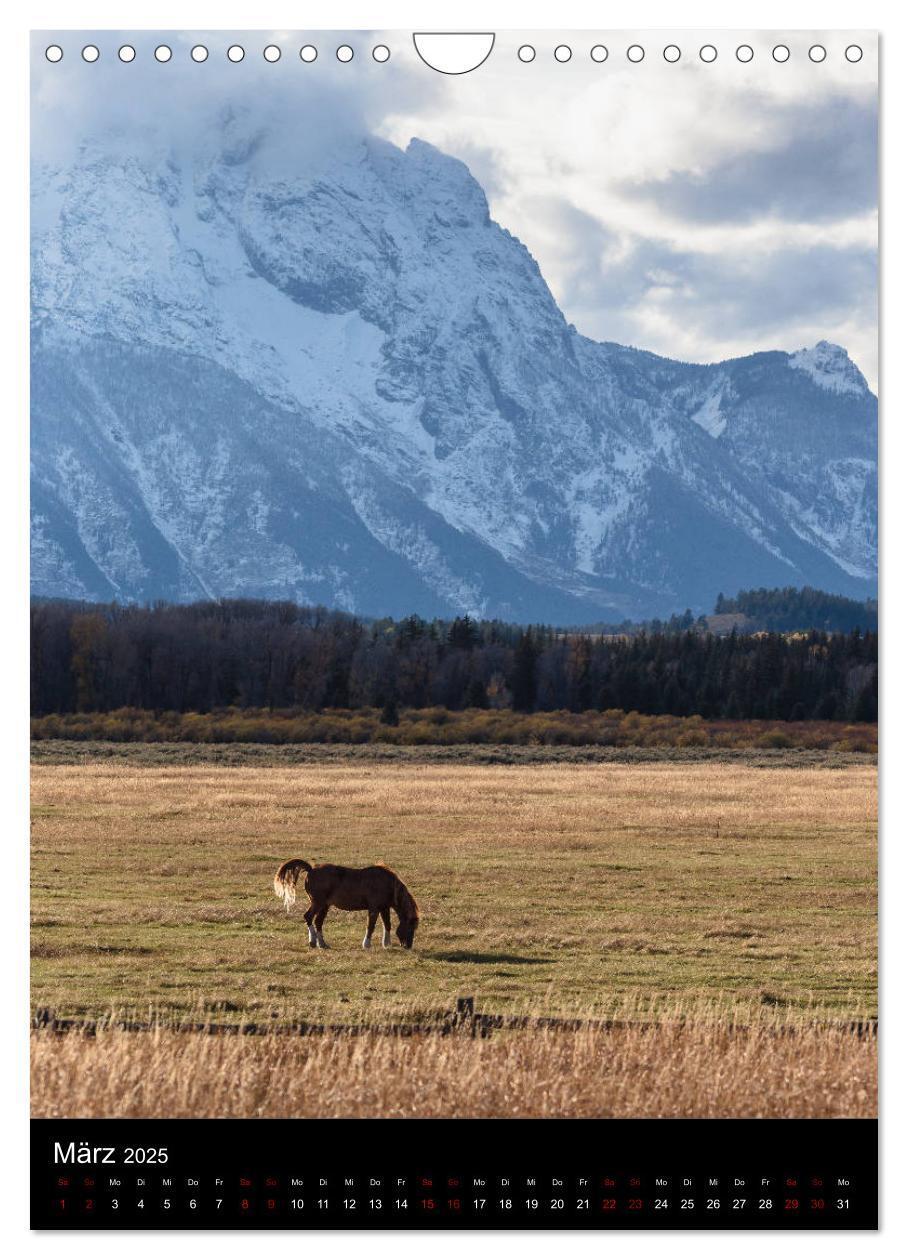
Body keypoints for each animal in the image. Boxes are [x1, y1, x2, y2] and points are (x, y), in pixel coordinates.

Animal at [274, 861, 420, 947]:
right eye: (410, 928)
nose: (408, 946)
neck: (386, 883)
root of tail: (311, 870)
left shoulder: (384, 908)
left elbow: (387, 925)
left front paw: (386, 944)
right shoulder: (374, 909)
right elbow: (370, 926)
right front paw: (366, 944)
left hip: (325, 906)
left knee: (318, 922)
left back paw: (322, 944)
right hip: (318, 903)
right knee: (308, 917)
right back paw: (313, 942)